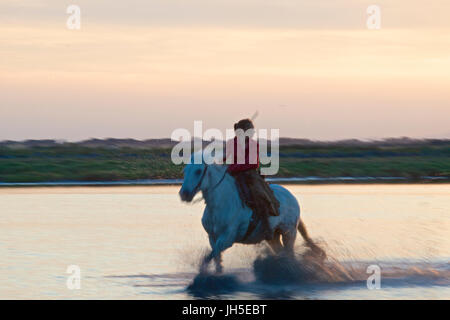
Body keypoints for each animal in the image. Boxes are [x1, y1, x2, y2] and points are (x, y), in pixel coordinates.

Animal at [179, 152, 324, 272]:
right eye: (185, 170)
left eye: (198, 171)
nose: (184, 194)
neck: (220, 203)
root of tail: (292, 197)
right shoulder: (212, 237)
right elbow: (216, 258)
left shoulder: (227, 238)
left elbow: (210, 256)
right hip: (273, 237)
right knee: (281, 252)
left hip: (289, 233)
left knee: (289, 254)